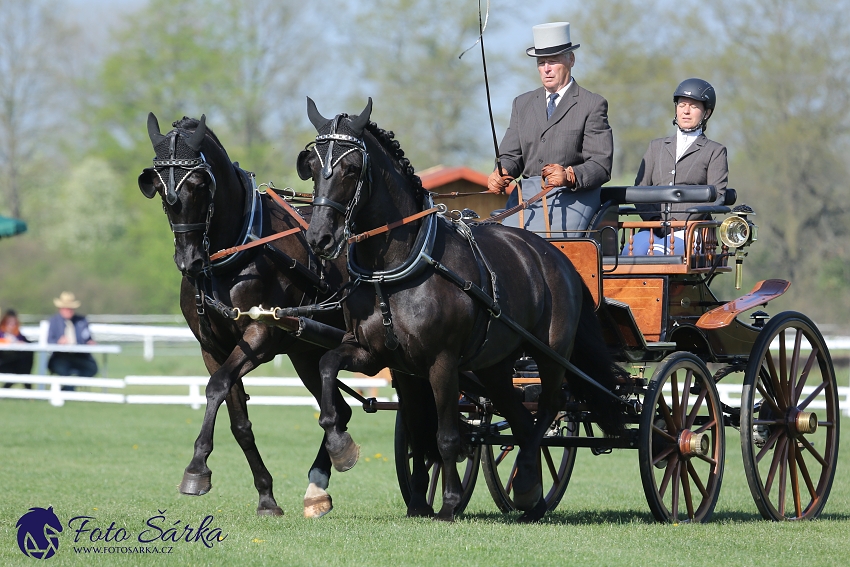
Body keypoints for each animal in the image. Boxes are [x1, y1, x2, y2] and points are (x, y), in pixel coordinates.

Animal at [137, 113, 350, 516]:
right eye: (157, 185)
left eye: (200, 184)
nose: (189, 262)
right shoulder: (213, 347)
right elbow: (238, 421)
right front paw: (266, 496)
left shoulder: (260, 337)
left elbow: (216, 386)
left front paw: (196, 468)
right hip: (307, 353)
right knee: (340, 411)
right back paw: (319, 486)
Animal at [298, 98, 624, 524]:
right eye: (311, 164)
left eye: (353, 167)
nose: (319, 238)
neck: (397, 267)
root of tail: (555, 255)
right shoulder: (385, 360)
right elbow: (342, 378)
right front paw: (352, 455)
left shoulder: (442, 362)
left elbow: (446, 435)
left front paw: (450, 502)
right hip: (495, 366)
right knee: (522, 420)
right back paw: (531, 495)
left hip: (551, 354)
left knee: (547, 410)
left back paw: (526, 485)